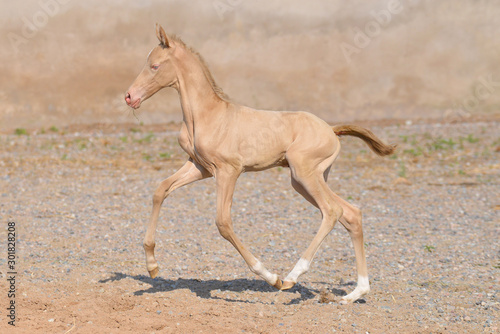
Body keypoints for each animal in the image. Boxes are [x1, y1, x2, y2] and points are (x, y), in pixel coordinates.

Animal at [124, 24, 394, 304]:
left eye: (155, 66)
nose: (129, 96)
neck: (207, 115)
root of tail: (331, 130)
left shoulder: (229, 171)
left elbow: (223, 222)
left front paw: (271, 277)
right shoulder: (200, 167)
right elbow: (160, 190)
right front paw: (152, 266)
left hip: (304, 173)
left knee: (332, 211)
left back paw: (291, 277)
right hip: (306, 180)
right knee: (351, 213)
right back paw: (355, 293)